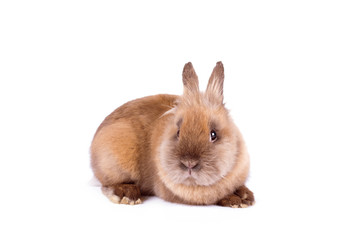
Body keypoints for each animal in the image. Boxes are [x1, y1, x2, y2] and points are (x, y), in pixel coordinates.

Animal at [90, 62, 255, 208]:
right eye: (178, 132)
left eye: (213, 134)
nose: (189, 163)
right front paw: (235, 200)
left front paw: (245, 196)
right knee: (108, 183)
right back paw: (127, 195)